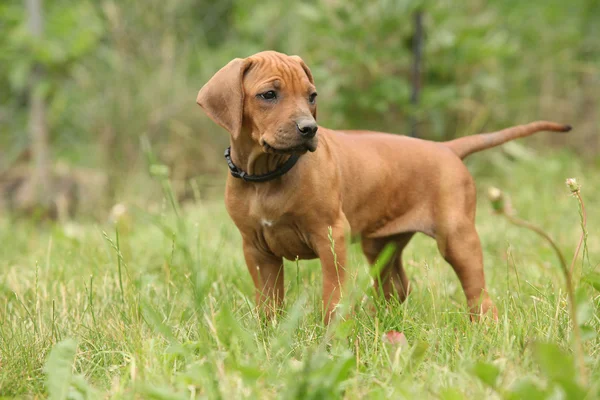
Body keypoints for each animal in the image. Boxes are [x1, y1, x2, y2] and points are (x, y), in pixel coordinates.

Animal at [197, 50, 572, 324]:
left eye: (311, 96)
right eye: (268, 95)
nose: (309, 129)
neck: (268, 175)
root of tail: (447, 148)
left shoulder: (331, 236)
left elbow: (333, 294)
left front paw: (333, 336)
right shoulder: (256, 248)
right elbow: (269, 300)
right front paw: (268, 333)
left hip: (457, 236)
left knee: (477, 292)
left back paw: (484, 328)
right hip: (382, 243)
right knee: (396, 286)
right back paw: (381, 320)